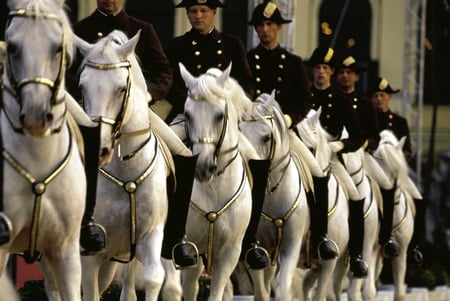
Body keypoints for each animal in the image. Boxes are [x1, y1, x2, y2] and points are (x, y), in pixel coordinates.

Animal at [75, 28, 171, 300]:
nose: (99, 147)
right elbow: (89, 290)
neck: (126, 172)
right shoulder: (90, 251)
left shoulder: (150, 235)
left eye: (120, 89)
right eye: (82, 87)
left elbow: (152, 278)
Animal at [179, 62, 256, 298]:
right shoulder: (190, 248)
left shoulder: (230, 251)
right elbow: (189, 288)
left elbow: (217, 292)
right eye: (187, 114)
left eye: (220, 115)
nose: (202, 167)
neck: (214, 188)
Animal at [239, 92, 310, 298]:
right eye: (240, 132)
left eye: (267, 137)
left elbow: (283, 287)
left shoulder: (291, 245)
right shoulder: (255, 249)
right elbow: (261, 290)